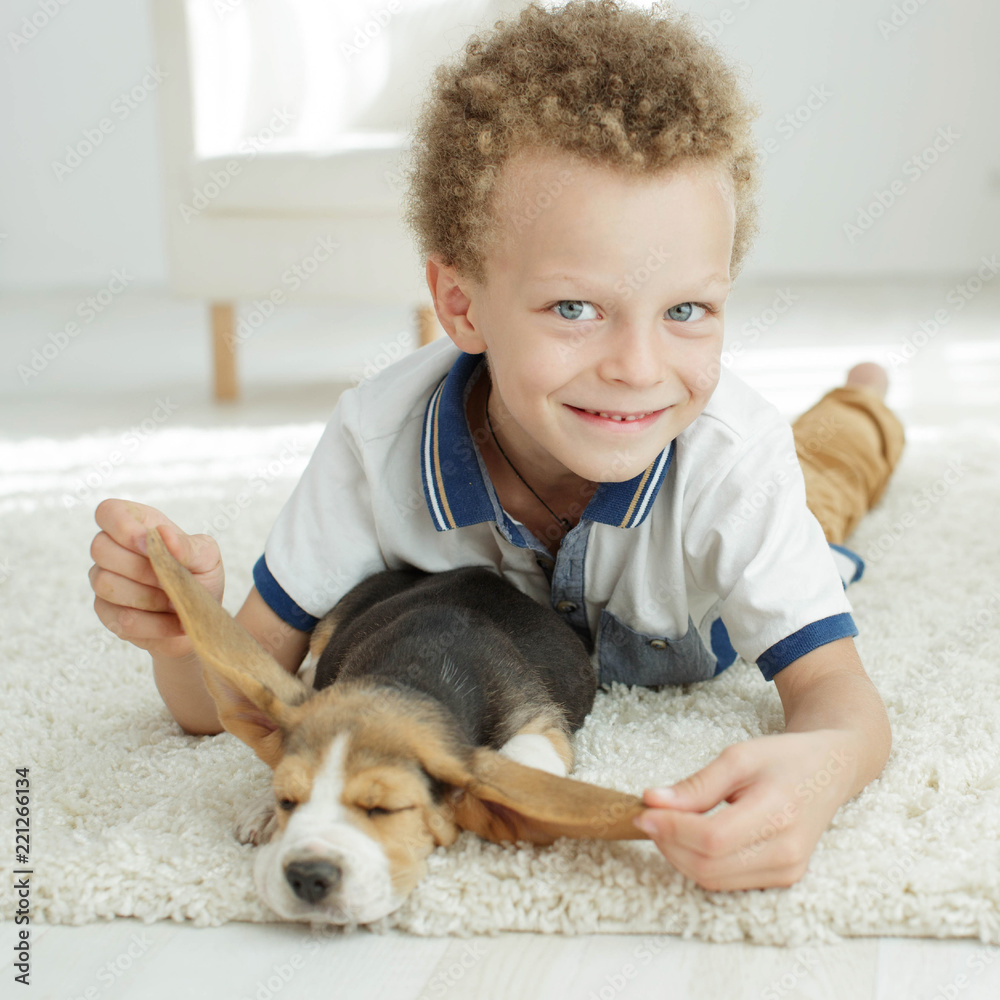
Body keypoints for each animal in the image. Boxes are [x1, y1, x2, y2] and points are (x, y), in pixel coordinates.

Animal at [145, 528, 652, 924]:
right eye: (289, 800)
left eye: (385, 810)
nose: (307, 875)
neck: (412, 677)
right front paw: (267, 810)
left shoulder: (538, 717)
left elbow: (522, 762)